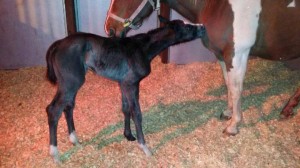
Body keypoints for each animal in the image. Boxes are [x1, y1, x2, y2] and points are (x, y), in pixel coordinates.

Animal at [45, 15, 205, 163]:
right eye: (188, 27)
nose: (203, 27)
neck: (143, 49)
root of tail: (57, 44)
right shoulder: (131, 84)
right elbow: (137, 113)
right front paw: (144, 147)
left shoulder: (123, 83)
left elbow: (126, 108)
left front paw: (128, 135)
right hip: (72, 82)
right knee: (53, 110)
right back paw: (55, 155)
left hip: (70, 84)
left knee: (68, 107)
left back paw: (75, 141)